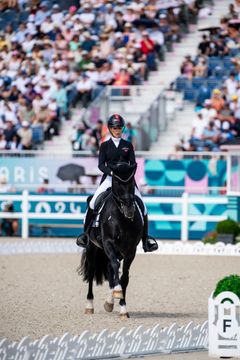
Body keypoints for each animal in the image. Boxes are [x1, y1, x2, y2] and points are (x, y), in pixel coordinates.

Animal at [78, 162, 143, 318]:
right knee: (92, 272)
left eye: (131, 182)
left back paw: (109, 301)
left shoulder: (131, 250)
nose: (129, 210)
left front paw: (123, 307)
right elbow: (115, 266)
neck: (122, 219)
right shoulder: (108, 243)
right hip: (92, 247)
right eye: (118, 182)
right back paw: (89, 306)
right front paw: (118, 293)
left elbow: (124, 276)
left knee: (110, 270)